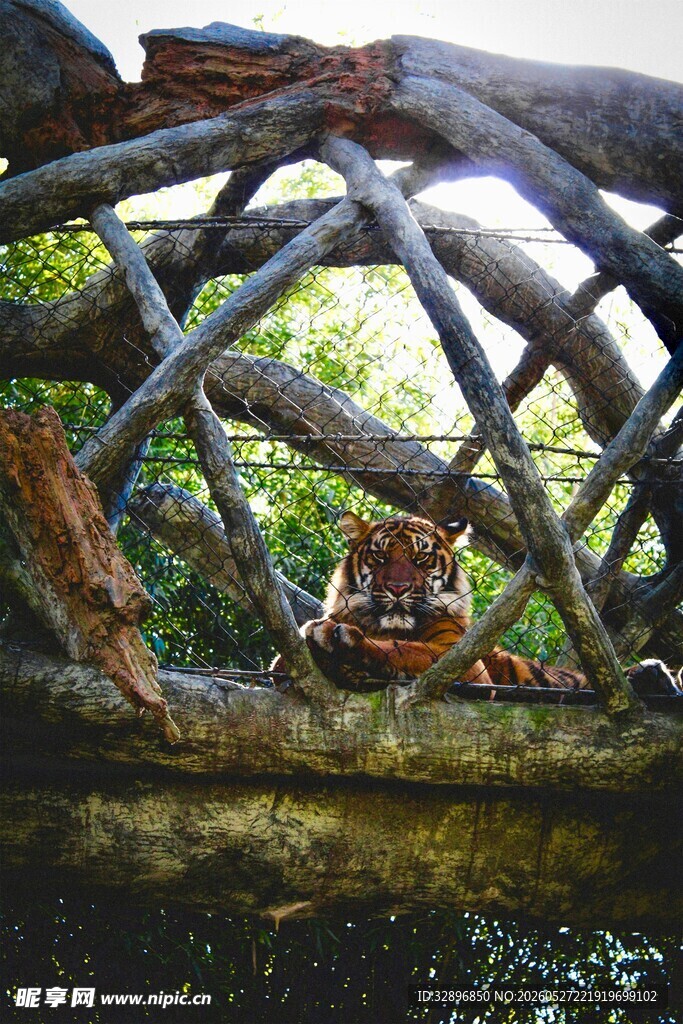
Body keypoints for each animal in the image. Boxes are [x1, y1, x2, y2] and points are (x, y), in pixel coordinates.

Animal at [290, 511, 680, 696]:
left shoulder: (462, 662)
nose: (398, 588)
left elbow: (403, 648)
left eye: (420, 559)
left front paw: (338, 639)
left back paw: (653, 676)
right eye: (381, 557)